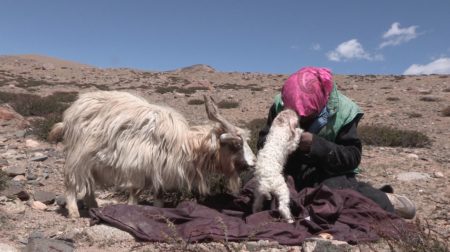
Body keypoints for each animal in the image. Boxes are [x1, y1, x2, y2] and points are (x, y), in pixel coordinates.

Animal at [49, 91, 255, 219]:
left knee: (89, 187)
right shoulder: (136, 169)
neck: (183, 145)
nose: (252, 163)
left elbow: (159, 199)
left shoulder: (158, 174)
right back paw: (74, 213)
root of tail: (71, 114)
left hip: (91, 164)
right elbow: (134, 197)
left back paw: (94, 208)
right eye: (236, 145)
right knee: (70, 182)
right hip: (78, 157)